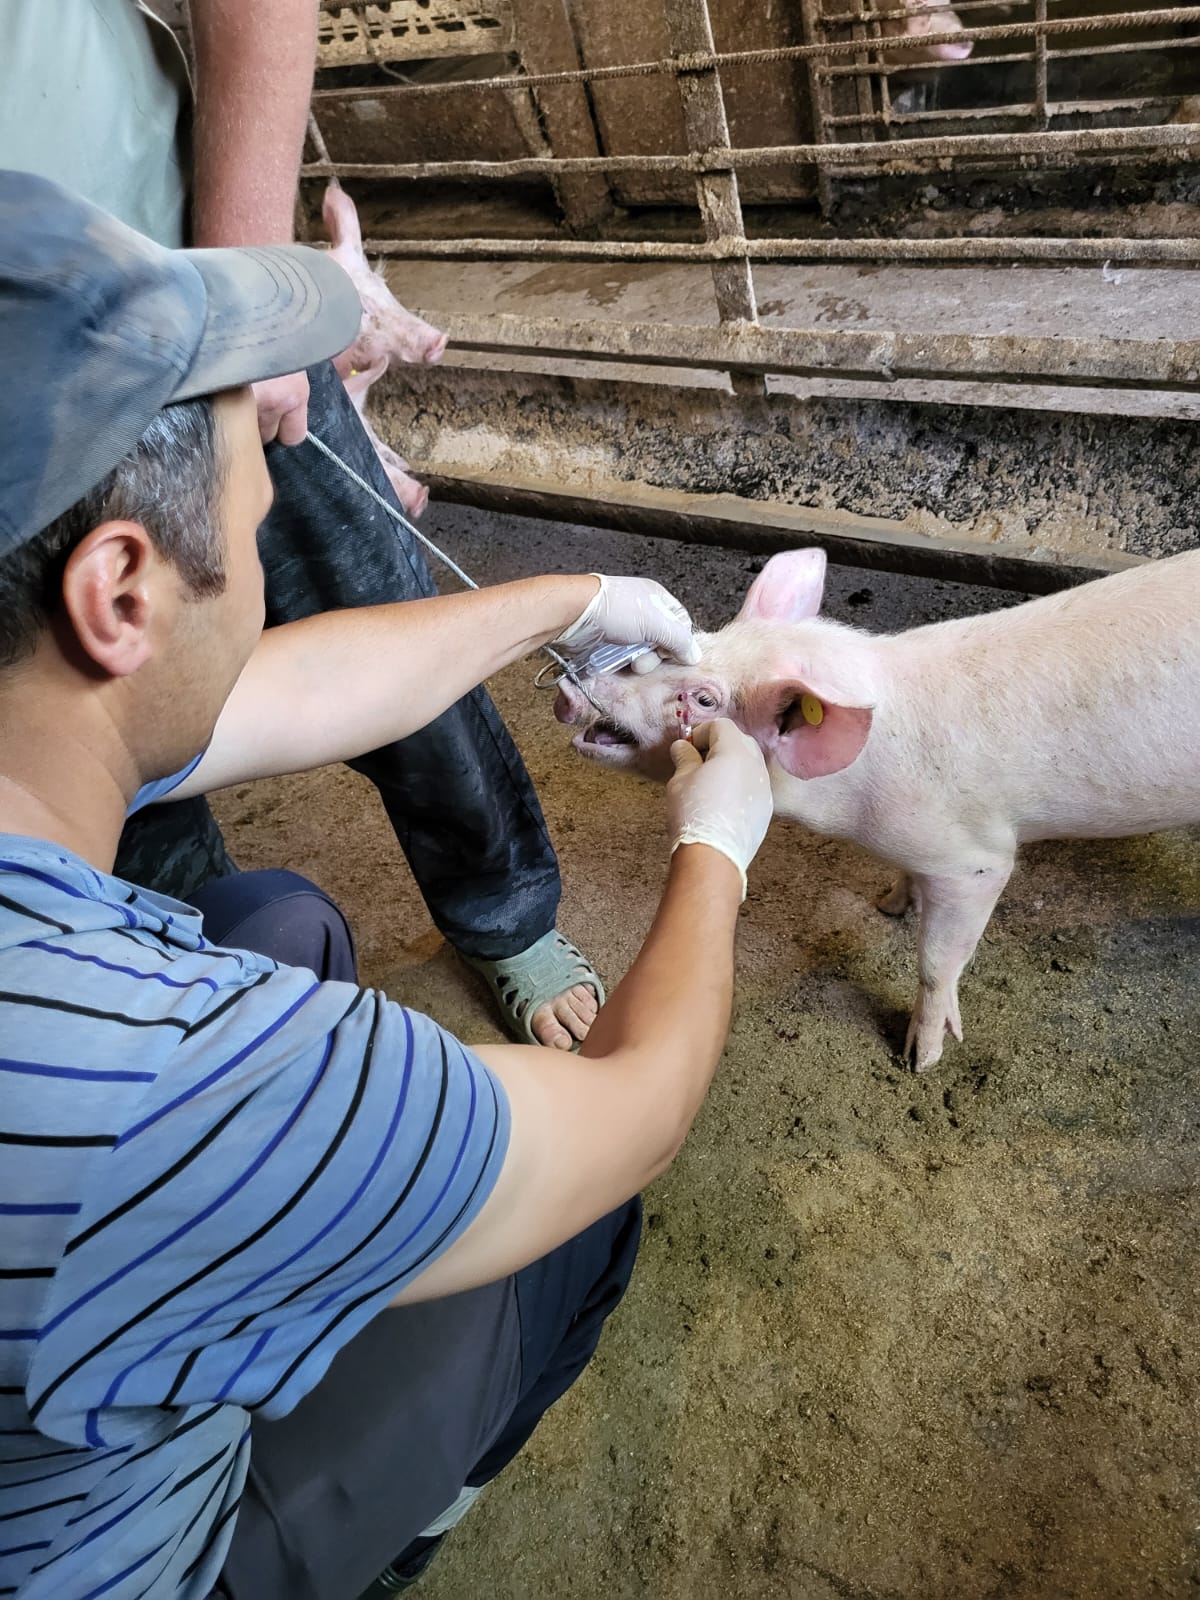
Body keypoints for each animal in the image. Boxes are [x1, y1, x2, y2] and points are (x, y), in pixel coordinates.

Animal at [560, 553, 1200, 1075]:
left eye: (703, 698)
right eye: (695, 638)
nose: (577, 682)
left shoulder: (977, 863)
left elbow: (938, 961)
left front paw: (921, 1060)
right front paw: (890, 905)